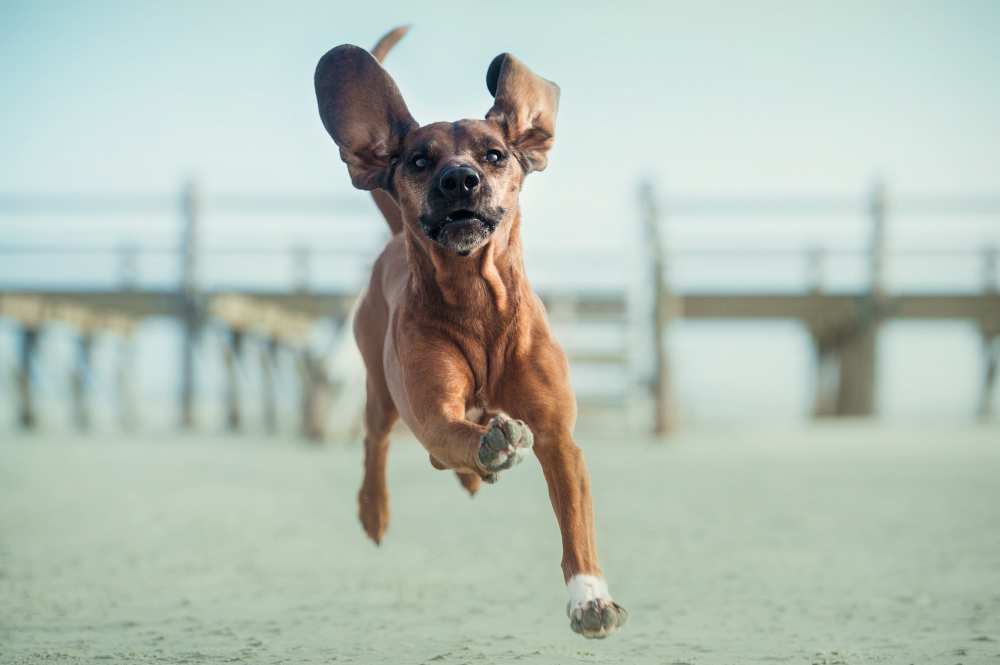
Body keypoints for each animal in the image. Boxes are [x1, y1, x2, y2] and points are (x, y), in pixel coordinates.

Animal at [314, 27, 624, 640]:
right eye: (417, 159)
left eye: (495, 154)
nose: (459, 178)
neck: (479, 308)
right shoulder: (433, 412)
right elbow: (453, 432)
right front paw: (490, 445)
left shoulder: (559, 438)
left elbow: (576, 525)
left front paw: (590, 598)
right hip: (381, 391)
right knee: (377, 442)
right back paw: (377, 507)